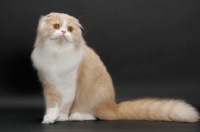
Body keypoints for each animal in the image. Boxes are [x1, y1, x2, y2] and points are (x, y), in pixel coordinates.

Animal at [30, 12, 199, 124]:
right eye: (56, 26)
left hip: (95, 98)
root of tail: (113, 106)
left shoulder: (70, 85)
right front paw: (50, 118)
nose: (64, 32)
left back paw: (76, 116)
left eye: (70, 29)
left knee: (98, 116)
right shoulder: (49, 84)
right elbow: (52, 105)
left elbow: (65, 104)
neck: (58, 54)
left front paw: (62, 117)